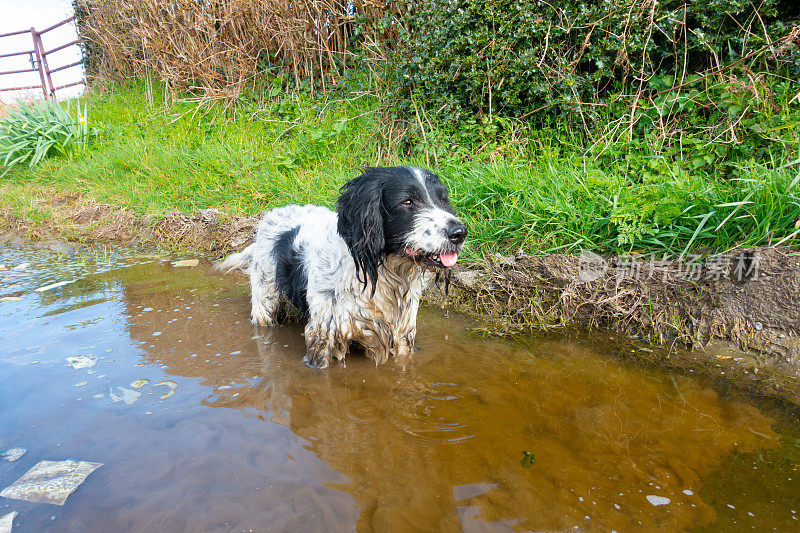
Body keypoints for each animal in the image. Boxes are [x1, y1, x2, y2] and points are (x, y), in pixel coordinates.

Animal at [219, 168, 468, 368]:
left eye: (443, 199)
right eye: (407, 201)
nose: (459, 233)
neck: (382, 272)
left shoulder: (401, 333)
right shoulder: (323, 333)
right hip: (265, 300)